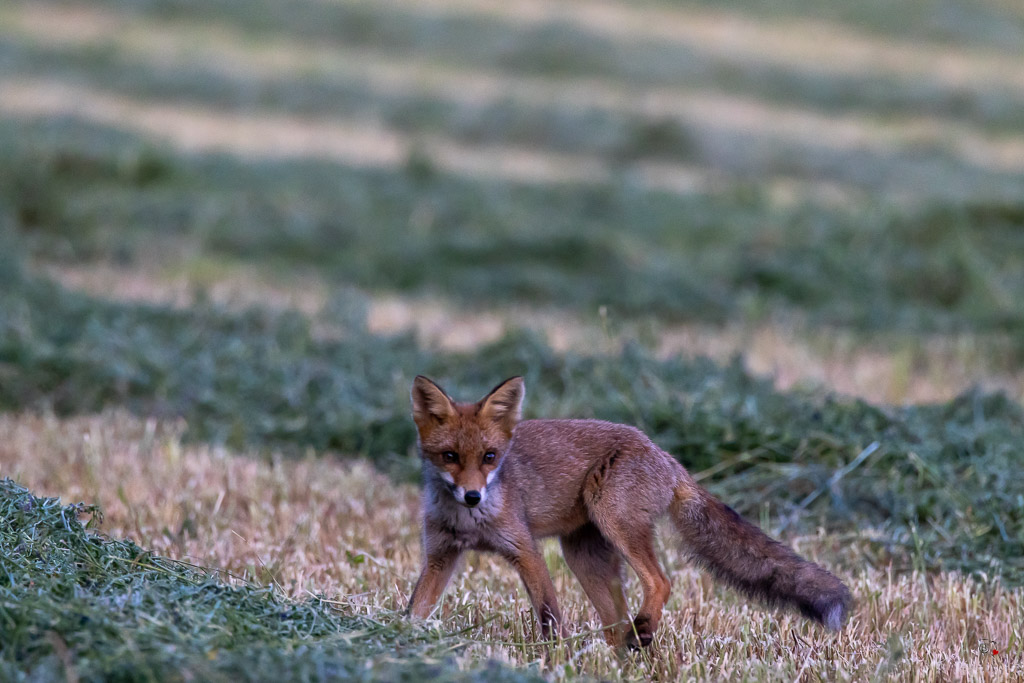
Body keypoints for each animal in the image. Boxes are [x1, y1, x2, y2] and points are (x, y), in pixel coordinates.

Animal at [407, 375, 851, 647]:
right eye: (449, 457)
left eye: (490, 457)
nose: (472, 496)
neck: (469, 524)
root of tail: (667, 457)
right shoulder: (441, 555)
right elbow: (415, 609)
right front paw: (400, 640)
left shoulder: (525, 550)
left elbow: (550, 616)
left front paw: (554, 658)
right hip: (585, 558)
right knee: (615, 623)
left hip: (614, 522)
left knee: (661, 582)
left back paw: (643, 631)